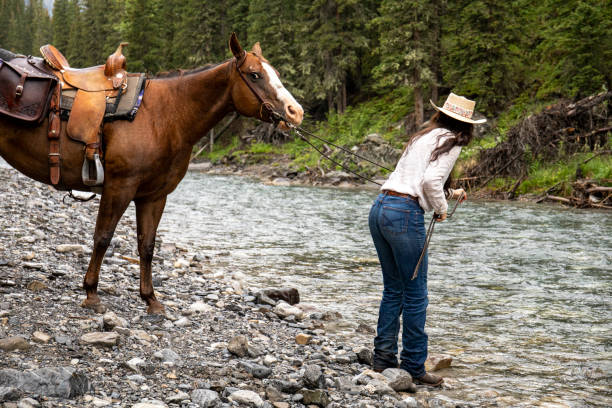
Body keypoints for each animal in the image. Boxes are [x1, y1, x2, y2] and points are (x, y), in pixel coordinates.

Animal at [0, 34, 304, 316]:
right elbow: (103, 237)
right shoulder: (120, 187)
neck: (163, 115)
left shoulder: (154, 196)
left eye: (276, 73)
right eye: (255, 75)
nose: (296, 112)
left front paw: (150, 300)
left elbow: (147, 246)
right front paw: (91, 294)